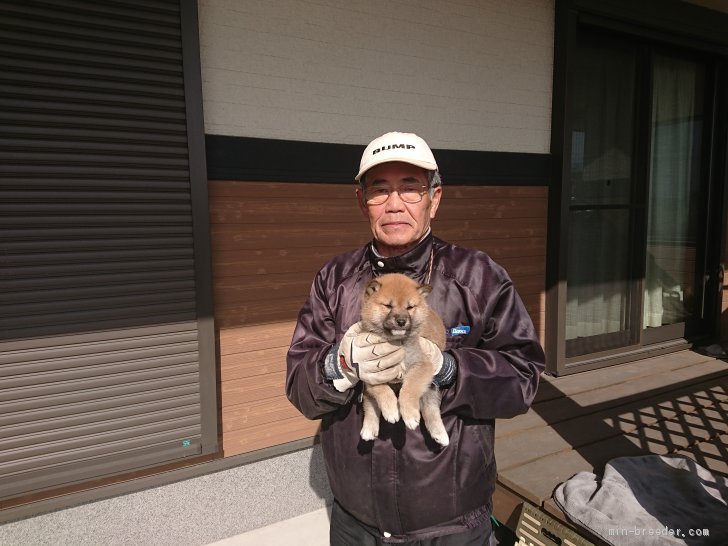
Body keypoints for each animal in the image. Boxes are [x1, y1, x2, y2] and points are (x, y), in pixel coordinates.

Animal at [358, 274, 450, 444]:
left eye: (410, 307)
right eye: (388, 306)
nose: (401, 321)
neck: (397, 342)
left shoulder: (421, 366)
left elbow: (409, 390)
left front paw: (410, 415)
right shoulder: (371, 371)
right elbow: (382, 390)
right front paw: (391, 410)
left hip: (430, 385)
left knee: (431, 408)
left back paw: (440, 434)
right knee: (369, 404)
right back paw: (369, 428)